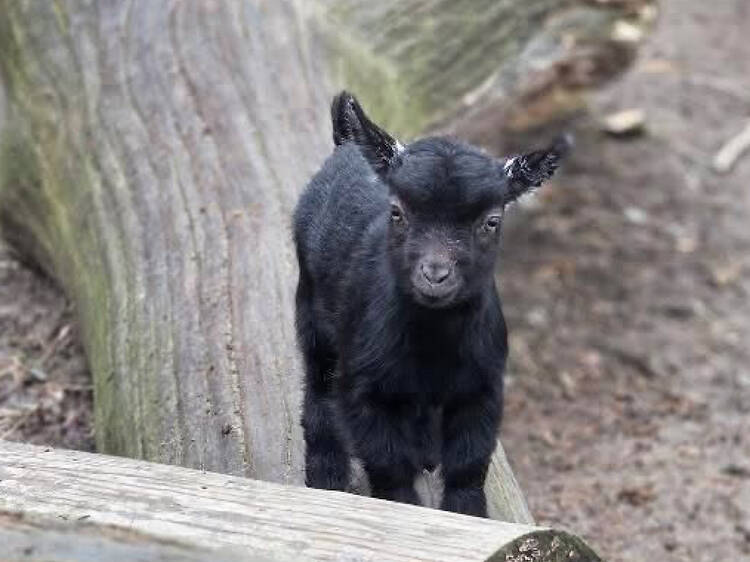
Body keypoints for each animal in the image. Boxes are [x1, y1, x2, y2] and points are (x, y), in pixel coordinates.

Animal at [293, 92, 570, 517]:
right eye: (396, 211)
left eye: (491, 221)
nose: (435, 274)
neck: (433, 341)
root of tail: (345, 146)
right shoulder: (365, 388)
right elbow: (389, 465)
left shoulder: (482, 387)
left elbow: (468, 465)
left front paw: (468, 515)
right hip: (314, 315)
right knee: (319, 396)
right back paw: (326, 477)